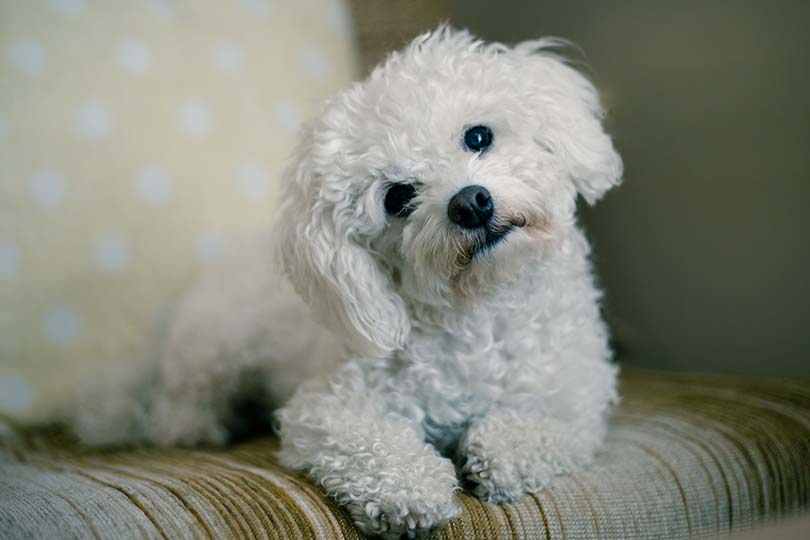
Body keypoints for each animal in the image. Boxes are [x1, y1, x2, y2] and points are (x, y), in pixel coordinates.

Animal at [74, 28, 620, 540]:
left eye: (479, 136)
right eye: (397, 197)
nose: (469, 203)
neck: (478, 311)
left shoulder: (577, 397)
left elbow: (532, 430)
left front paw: (499, 453)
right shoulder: (329, 407)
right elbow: (373, 447)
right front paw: (413, 489)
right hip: (211, 348)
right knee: (175, 404)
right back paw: (196, 427)